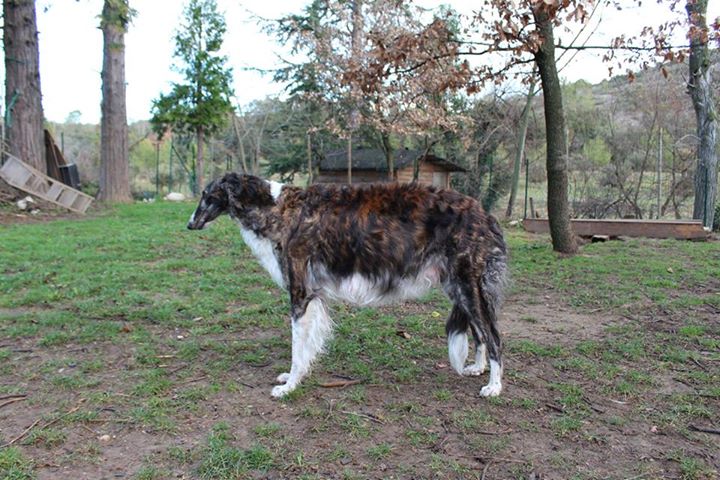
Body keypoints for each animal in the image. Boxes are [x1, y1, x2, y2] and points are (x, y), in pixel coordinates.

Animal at [188, 172, 510, 398]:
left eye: (207, 195)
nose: (190, 224)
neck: (275, 207)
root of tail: (484, 213)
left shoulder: (300, 294)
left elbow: (296, 349)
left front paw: (289, 387)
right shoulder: (313, 297)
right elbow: (306, 348)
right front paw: (293, 378)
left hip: (468, 286)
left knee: (493, 336)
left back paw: (494, 387)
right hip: (460, 288)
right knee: (481, 334)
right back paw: (478, 368)